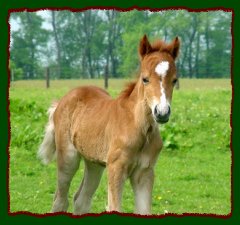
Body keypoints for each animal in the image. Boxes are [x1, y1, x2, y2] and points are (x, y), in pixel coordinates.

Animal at [38, 34, 179, 214]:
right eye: (145, 79)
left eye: (174, 80)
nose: (161, 112)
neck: (139, 128)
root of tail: (62, 101)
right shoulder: (116, 169)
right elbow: (114, 207)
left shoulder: (145, 172)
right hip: (68, 158)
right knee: (60, 201)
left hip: (94, 162)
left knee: (81, 199)